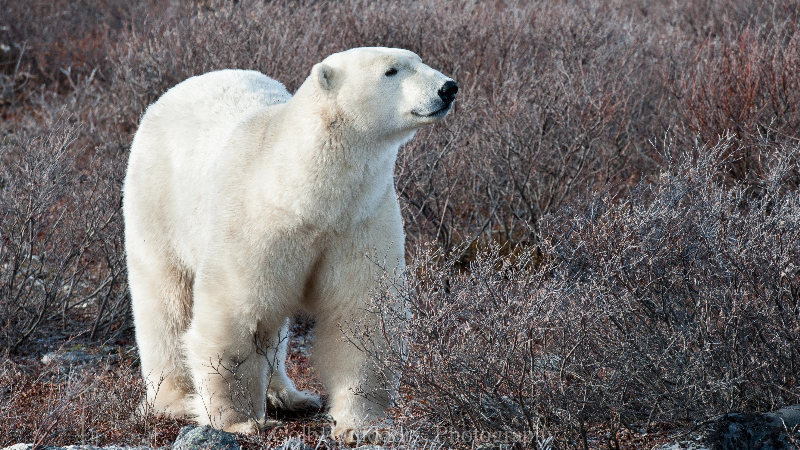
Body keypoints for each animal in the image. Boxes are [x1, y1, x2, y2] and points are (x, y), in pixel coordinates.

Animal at [123, 47, 458, 437]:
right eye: (391, 71)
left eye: (418, 60)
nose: (448, 88)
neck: (302, 190)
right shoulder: (255, 221)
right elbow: (236, 315)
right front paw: (239, 421)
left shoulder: (360, 218)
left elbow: (361, 317)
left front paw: (362, 425)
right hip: (156, 203)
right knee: (165, 304)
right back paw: (176, 401)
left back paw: (290, 395)